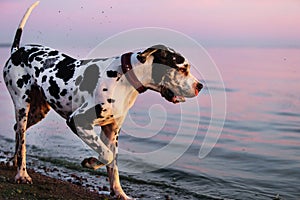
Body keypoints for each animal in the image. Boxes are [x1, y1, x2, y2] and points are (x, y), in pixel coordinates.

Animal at [2, 1, 202, 200]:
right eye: (182, 68)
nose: (200, 86)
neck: (124, 77)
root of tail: (17, 51)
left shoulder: (111, 131)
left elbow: (112, 164)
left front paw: (119, 192)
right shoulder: (78, 121)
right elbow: (107, 155)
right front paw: (90, 162)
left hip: (37, 112)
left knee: (18, 132)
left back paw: (13, 161)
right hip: (22, 106)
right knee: (23, 142)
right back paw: (22, 173)